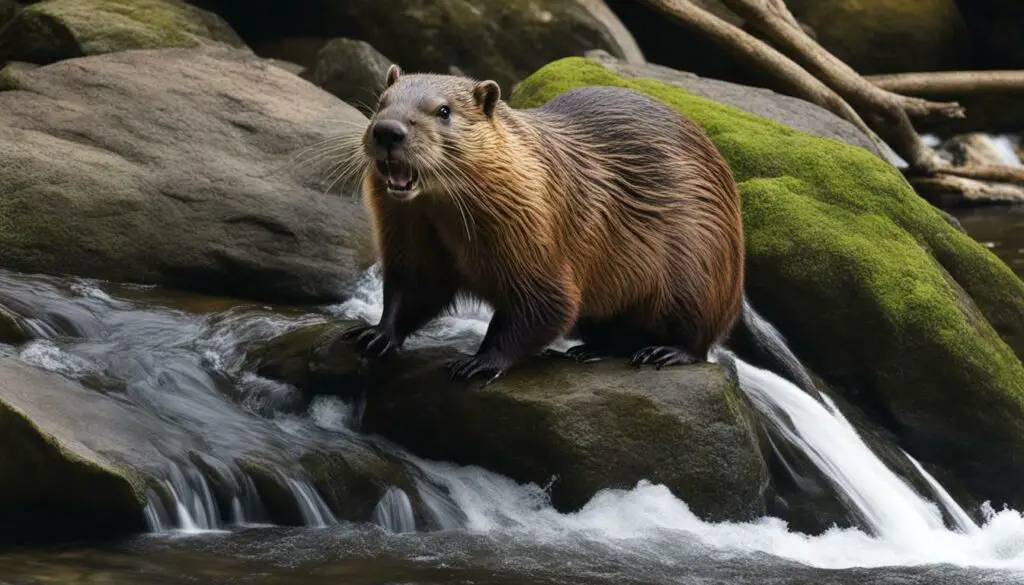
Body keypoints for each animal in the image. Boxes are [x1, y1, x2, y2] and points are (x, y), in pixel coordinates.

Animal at [342, 64, 745, 387]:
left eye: (444, 111)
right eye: (382, 100)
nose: (388, 131)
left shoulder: (540, 251)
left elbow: (544, 312)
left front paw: (479, 363)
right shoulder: (414, 240)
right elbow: (413, 290)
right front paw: (375, 334)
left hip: (696, 278)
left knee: (698, 342)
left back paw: (662, 353)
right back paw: (587, 351)